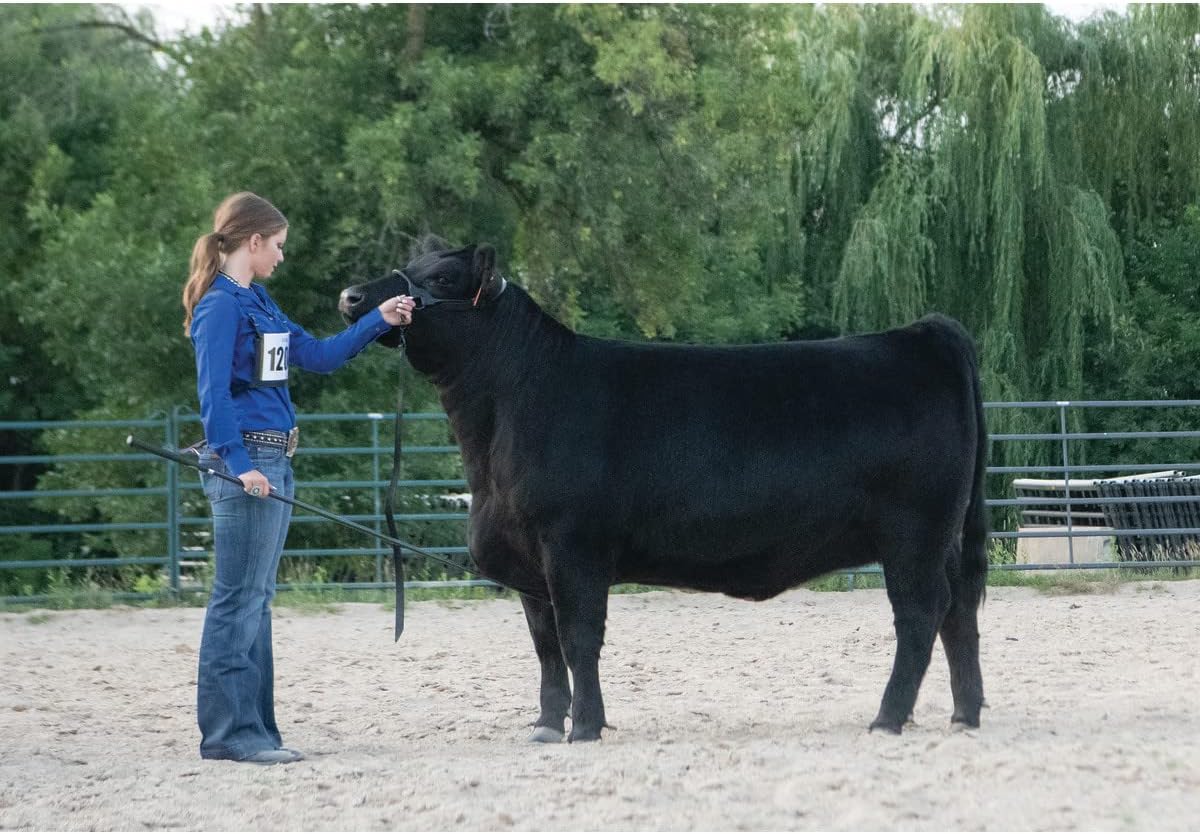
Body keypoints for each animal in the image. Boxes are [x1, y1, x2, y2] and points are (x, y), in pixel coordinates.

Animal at [338, 238, 988, 742]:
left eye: (442, 278)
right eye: (411, 264)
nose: (351, 298)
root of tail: (922, 332)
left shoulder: (572, 546)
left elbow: (578, 639)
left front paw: (585, 727)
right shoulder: (528, 559)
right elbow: (545, 646)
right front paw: (547, 725)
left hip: (913, 533)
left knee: (920, 614)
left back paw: (888, 718)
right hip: (944, 536)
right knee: (959, 611)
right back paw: (963, 714)